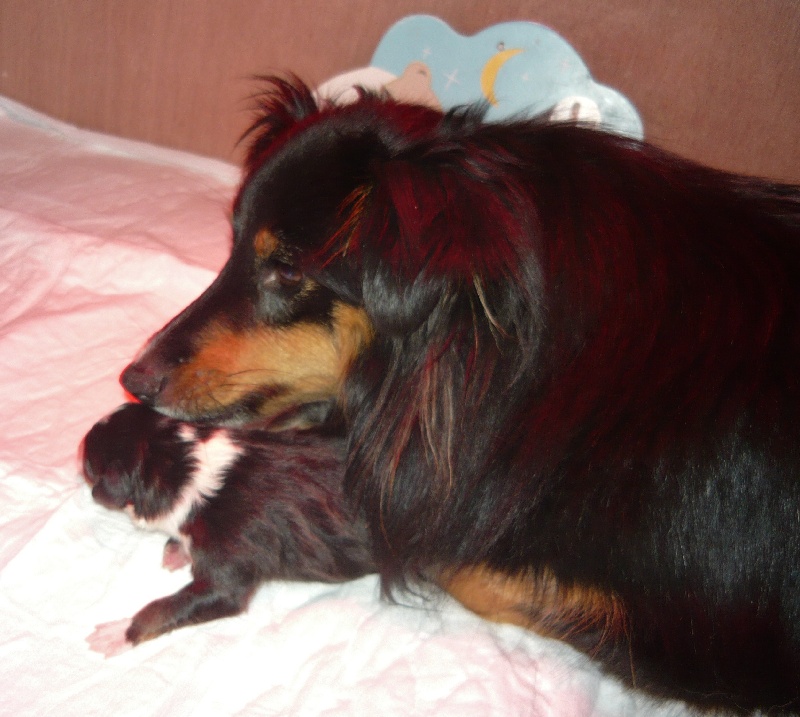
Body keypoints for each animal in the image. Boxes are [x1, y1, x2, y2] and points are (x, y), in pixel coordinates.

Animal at [81, 402, 376, 656]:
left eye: (88, 463)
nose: (81, 442)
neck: (181, 467)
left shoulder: (226, 571)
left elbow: (165, 606)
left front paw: (120, 633)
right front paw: (178, 549)